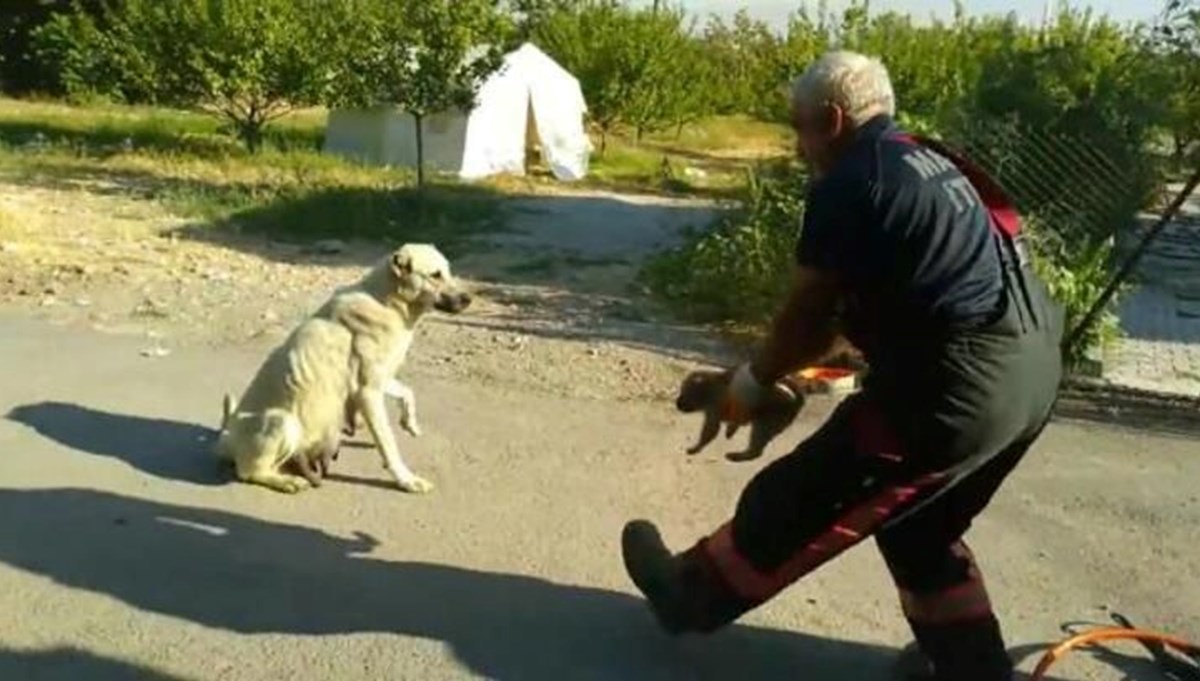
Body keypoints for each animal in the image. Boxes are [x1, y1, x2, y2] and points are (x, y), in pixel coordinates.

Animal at [218, 244, 470, 493]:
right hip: (283, 421)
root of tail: (227, 435)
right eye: (435, 275)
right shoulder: (368, 392)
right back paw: (287, 481)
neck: (387, 302)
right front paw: (406, 479)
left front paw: (409, 423)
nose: (468, 299)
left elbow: (407, 392)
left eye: (449, 271)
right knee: (249, 472)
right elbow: (388, 442)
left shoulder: (378, 379)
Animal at [676, 366, 806, 462]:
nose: (677, 403)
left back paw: (741, 456)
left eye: (684, 392)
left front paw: (696, 447)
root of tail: (796, 399)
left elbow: (711, 430)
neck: (709, 387)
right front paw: (731, 429)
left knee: (759, 437)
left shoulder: (714, 407)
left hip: (771, 417)